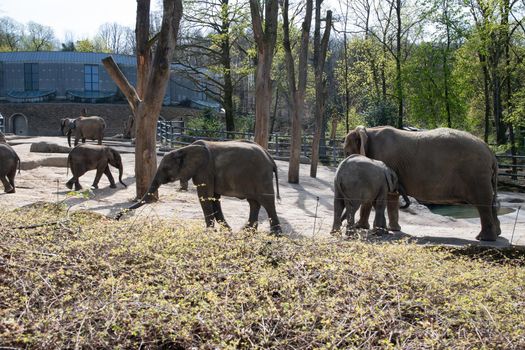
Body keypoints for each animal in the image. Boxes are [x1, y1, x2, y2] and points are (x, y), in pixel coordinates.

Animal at [117, 140, 282, 235]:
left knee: (266, 201)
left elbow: (204, 195)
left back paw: (275, 235)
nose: (117, 218)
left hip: (261, 175)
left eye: (165, 168)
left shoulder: (204, 169)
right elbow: (213, 197)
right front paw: (225, 230)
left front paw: (209, 232)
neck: (185, 149)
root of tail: (270, 158)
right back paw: (247, 232)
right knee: (254, 202)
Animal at [344, 124, 500, 242]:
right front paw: (393, 230)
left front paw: (360, 226)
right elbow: (391, 195)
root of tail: (491, 153)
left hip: (476, 174)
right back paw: (496, 234)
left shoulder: (382, 159)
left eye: (346, 152)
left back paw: (484, 239)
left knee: (483, 202)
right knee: (491, 201)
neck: (368, 130)